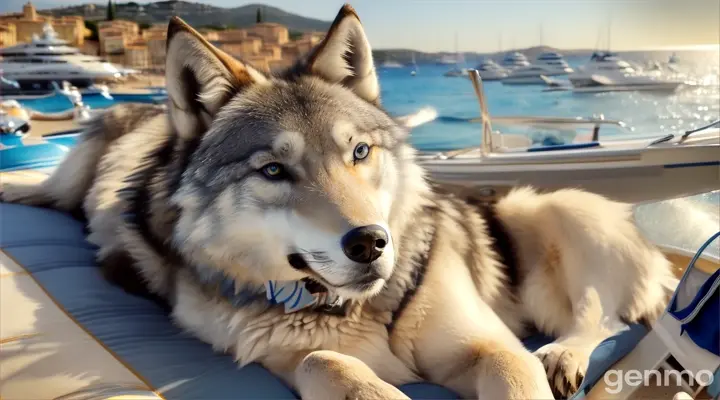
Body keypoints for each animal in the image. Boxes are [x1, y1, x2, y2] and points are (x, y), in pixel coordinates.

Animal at [1, 4, 676, 398]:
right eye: (273, 169)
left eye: (359, 152)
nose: (372, 242)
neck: (354, 308)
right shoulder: (277, 358)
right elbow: (327, 363)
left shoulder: (493, 350)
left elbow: (517, 367)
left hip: (546, 214)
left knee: (607, 315)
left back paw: (563, 353)